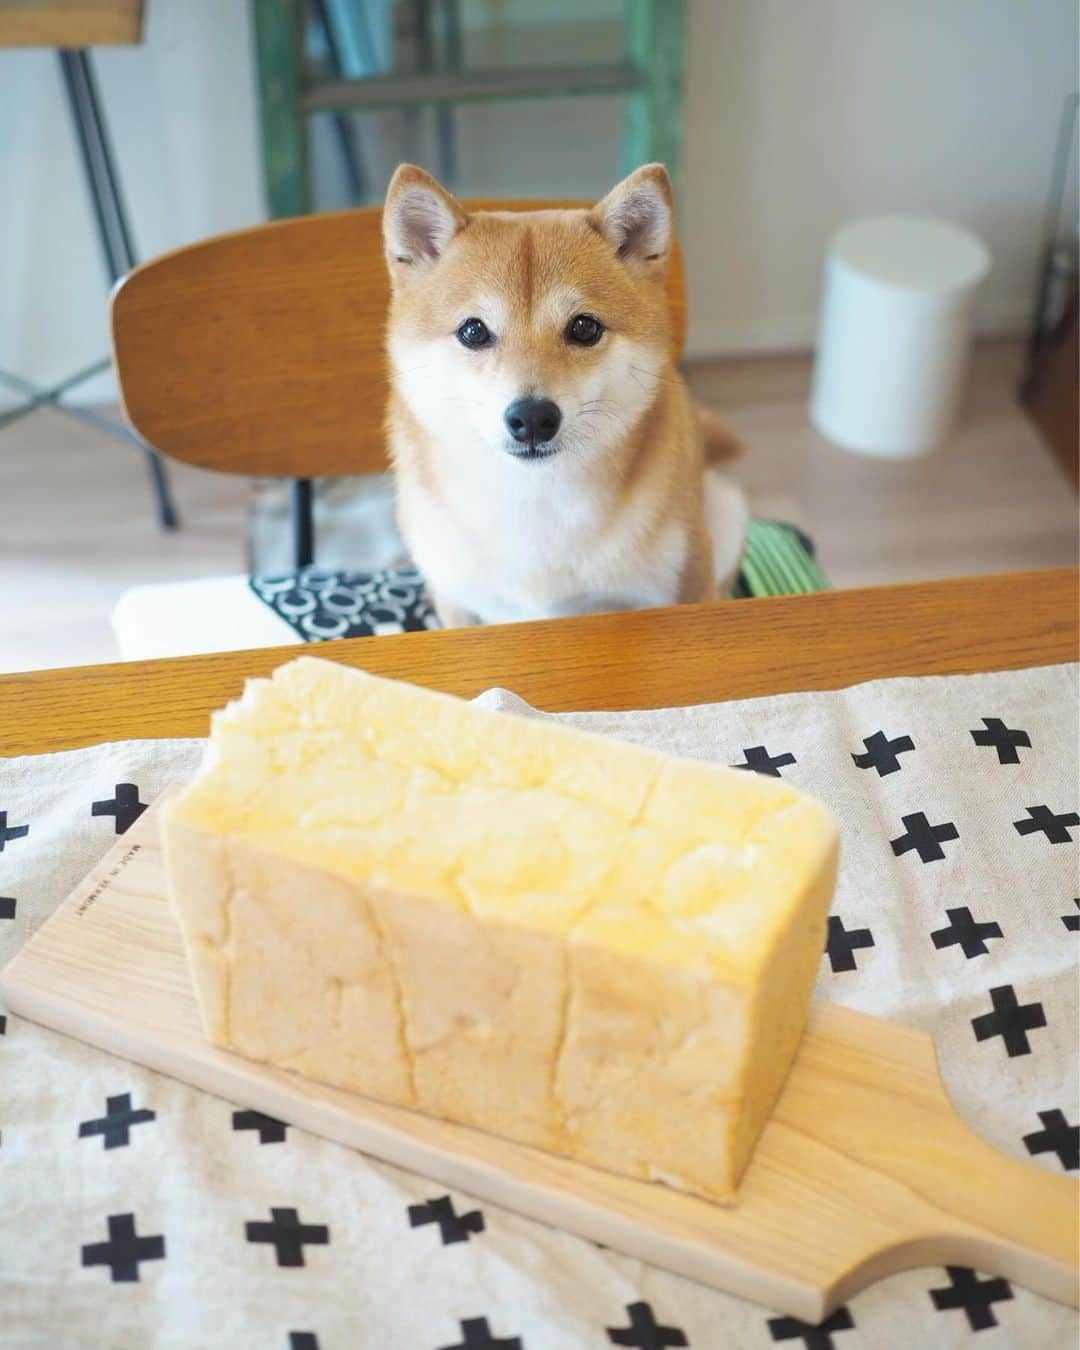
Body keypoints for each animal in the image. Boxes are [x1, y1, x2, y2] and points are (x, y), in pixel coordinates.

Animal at [383, 160, 745, 623]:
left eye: (584, 327)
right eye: (473, 331)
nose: (533, 417)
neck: (536, 500)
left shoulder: (684, 585)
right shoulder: (456, 602)